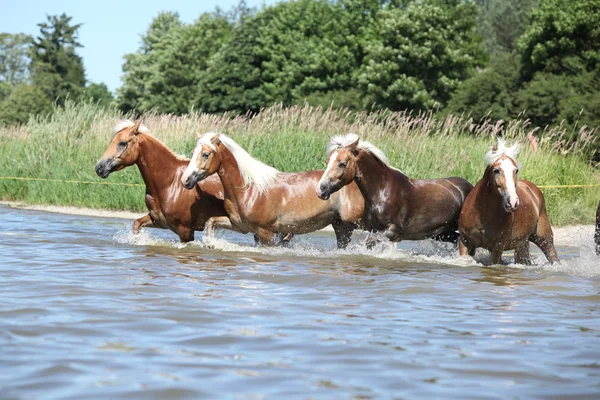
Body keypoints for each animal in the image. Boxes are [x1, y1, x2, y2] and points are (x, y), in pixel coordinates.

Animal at [95, 120, 236, 242]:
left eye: (122, 143)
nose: (99, 168)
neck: (170, 182)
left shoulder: (185, 231)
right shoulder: (159, 221)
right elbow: (136, 224)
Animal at [180, 134, 364, 247]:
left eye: (205, 154)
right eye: (194, 152)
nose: (185, 180)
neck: (249, 190)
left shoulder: (265, 233)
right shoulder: (241, 226)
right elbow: (210, 222)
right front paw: (210, 244)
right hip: (340, 226)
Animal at [316, 135, 472, 244]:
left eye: (342, 164)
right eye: (328, 161)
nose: (321, 189)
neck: (382, 191)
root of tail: (470, 187)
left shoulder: (392, 231)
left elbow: (370, 242)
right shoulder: (374, 229)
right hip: (443, 234)